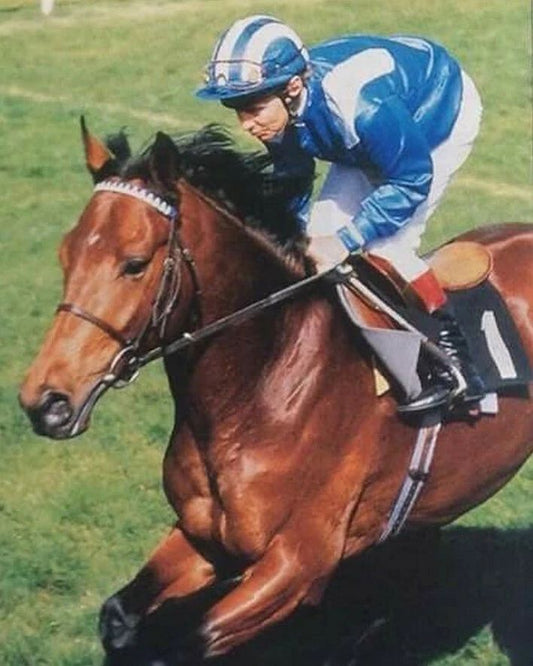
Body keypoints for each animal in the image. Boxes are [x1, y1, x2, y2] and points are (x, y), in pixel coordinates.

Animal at [19, 120, 533, 663]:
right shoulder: (204, 536)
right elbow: (118, 616)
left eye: (134, 264)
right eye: (66, 253)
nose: (45, 402)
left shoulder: (297, 566)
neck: (263, 384)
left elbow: (190, 640)